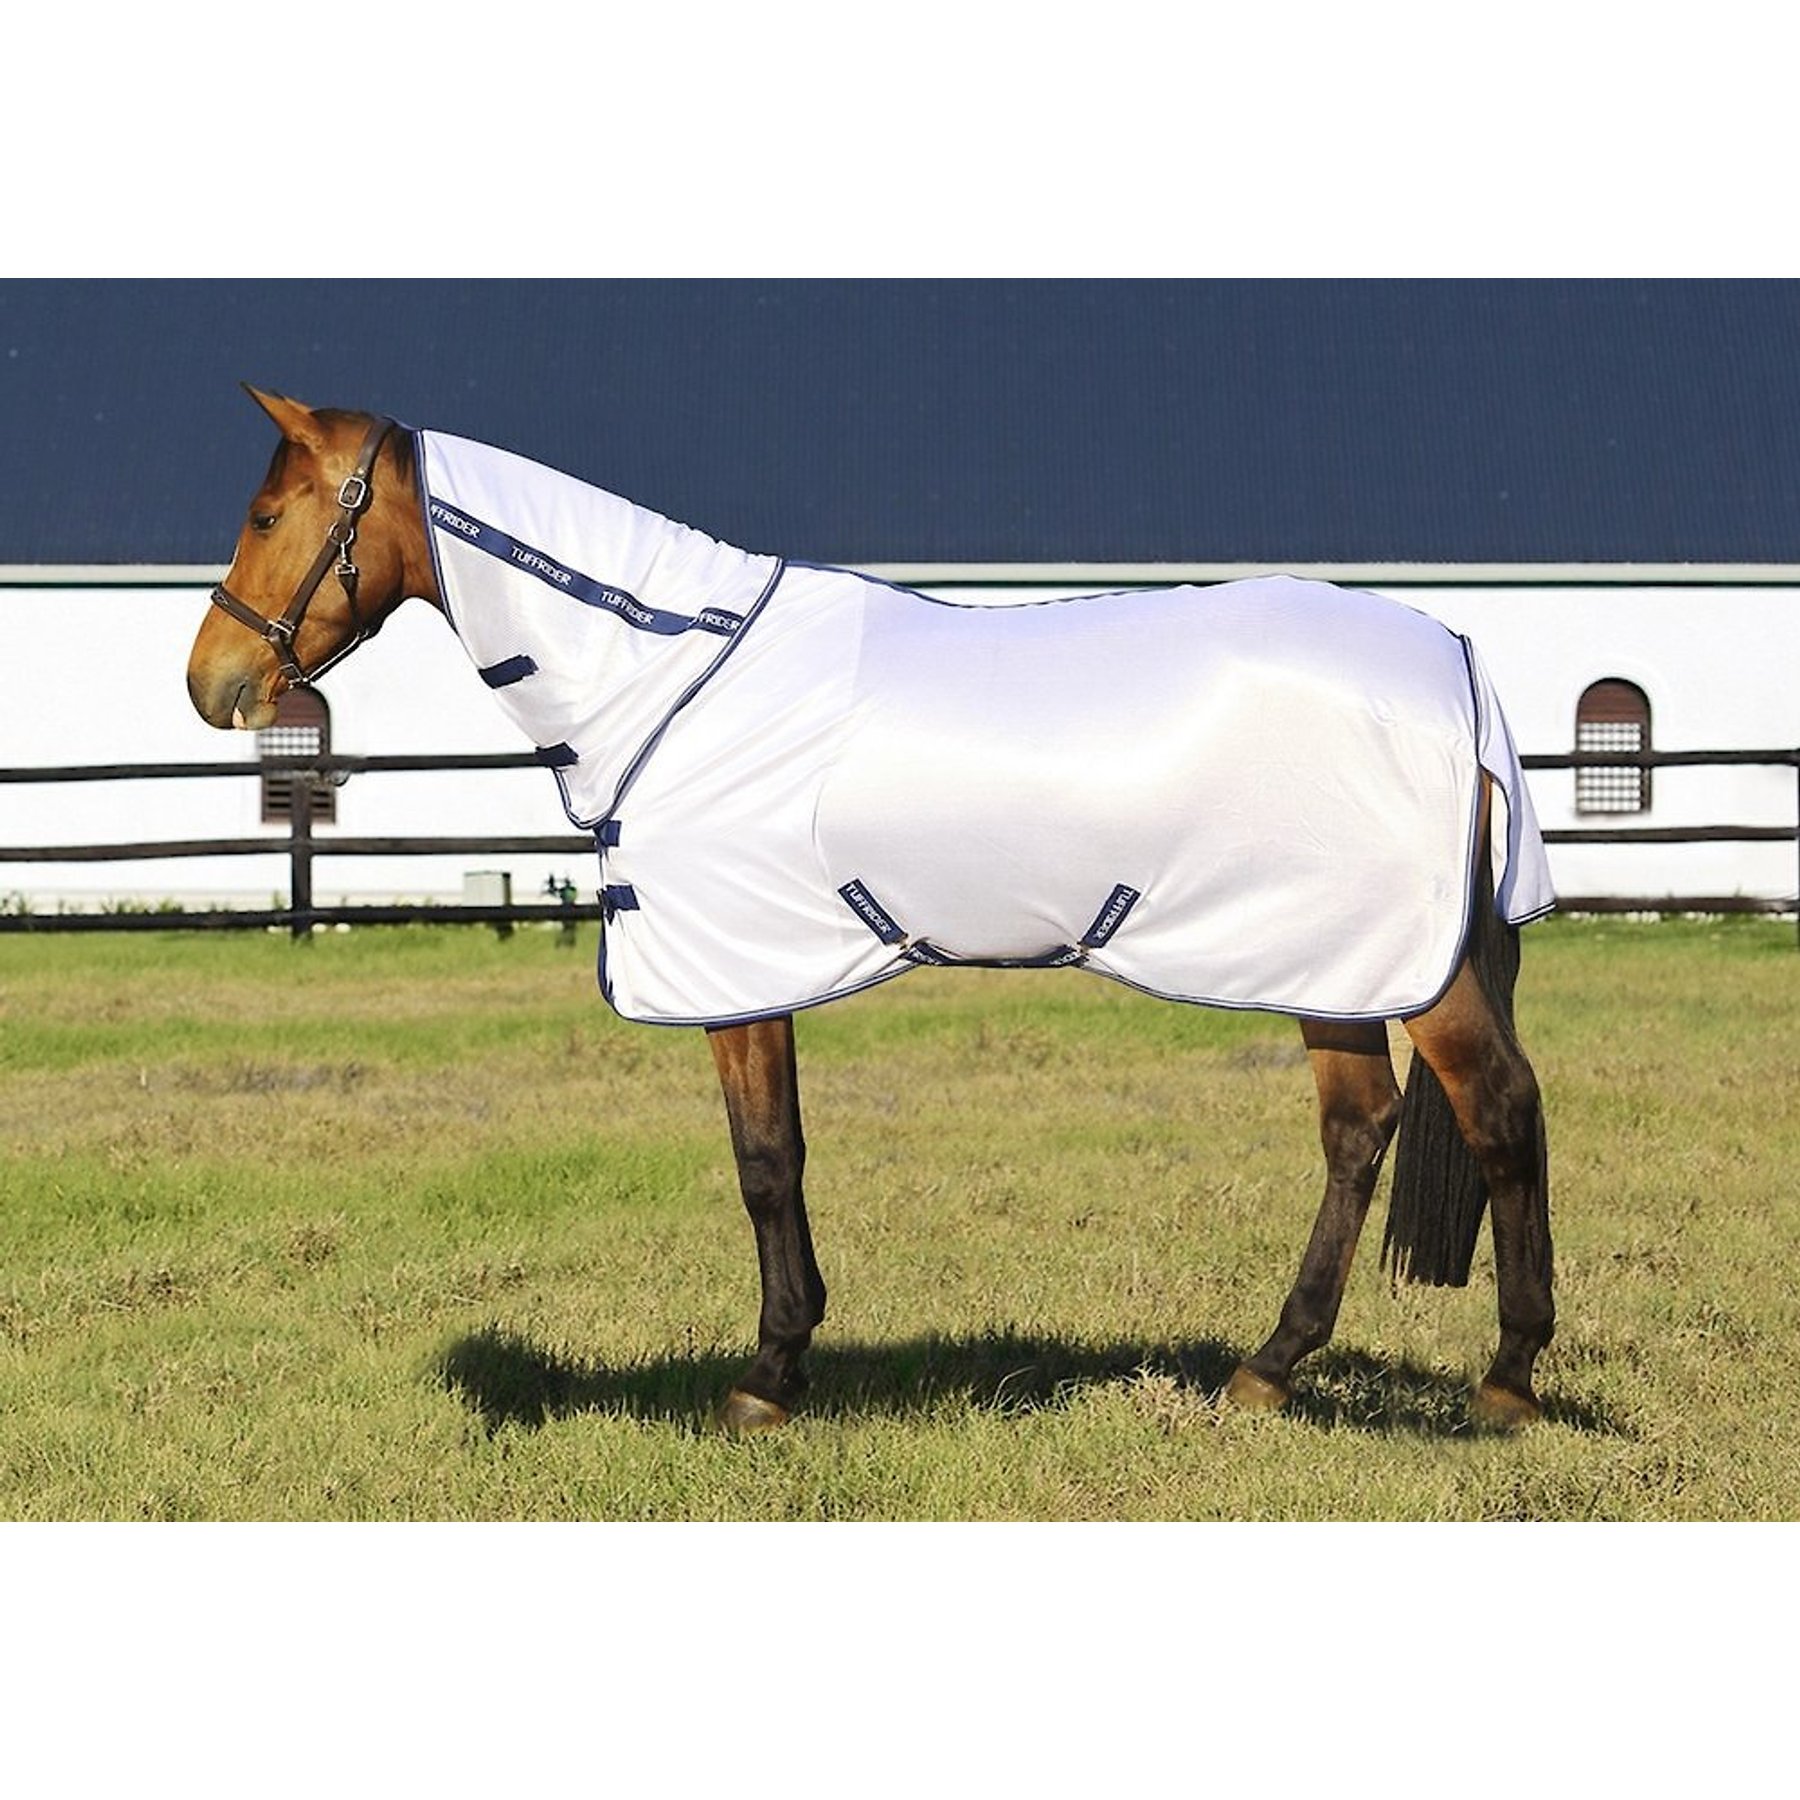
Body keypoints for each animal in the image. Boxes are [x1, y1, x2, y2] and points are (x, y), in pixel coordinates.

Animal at [186, 387, 1556, 1433]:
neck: (672, 671)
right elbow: (779, 1152)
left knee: (1499, 1111)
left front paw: (765, 1381)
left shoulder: (739, 967)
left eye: (266, 515)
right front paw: (784, 1364)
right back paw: (1266, 1372)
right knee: (1359, 1129)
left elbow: (765, 1163)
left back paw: (1506, 1383)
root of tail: (1458, 664)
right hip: (1328, 962)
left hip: (1405, 970)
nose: (216, 683)